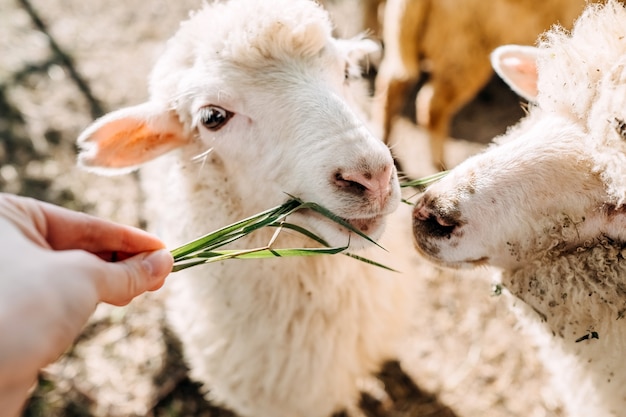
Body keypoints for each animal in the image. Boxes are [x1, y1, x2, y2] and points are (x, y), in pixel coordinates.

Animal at [370, 0, 596, 171]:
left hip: (400, 43)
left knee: (391, 83)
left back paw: (387, 147)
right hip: (465, 50)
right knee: (431, 105)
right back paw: (440, 164)